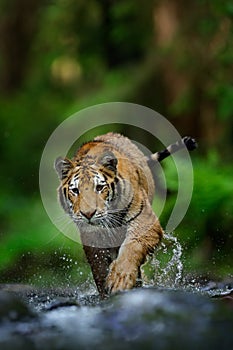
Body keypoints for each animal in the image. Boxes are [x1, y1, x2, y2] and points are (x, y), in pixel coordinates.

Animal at [55, 133, 197, 296]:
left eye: (99, 187)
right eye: (75, 190)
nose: (88, 214)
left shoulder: (146, 222)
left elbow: (132, 246)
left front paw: (119, 280)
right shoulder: (92, 238)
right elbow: (99, 266)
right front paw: (105, 292)